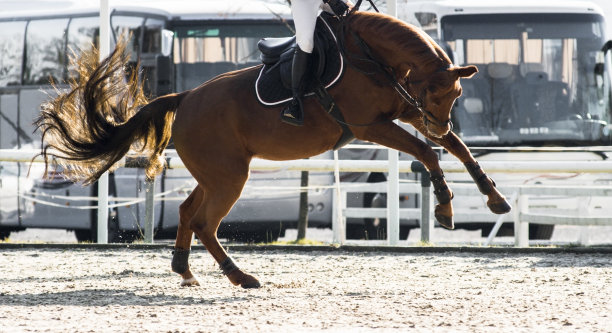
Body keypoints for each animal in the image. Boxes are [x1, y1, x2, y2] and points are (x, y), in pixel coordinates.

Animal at [35, 11, 510, 286]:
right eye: (436, 92)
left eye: (456, 96)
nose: (437, 123)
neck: (370, 55)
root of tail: (185, 98)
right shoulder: (372, 125)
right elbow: (429, 154)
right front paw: (445, 206)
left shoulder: (405, 113)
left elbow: (459, 150)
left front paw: (495, 199)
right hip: (230, 177)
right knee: (206, 222)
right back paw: (239, 277)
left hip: (219, 173)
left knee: (189, 212)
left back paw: (185, 271)